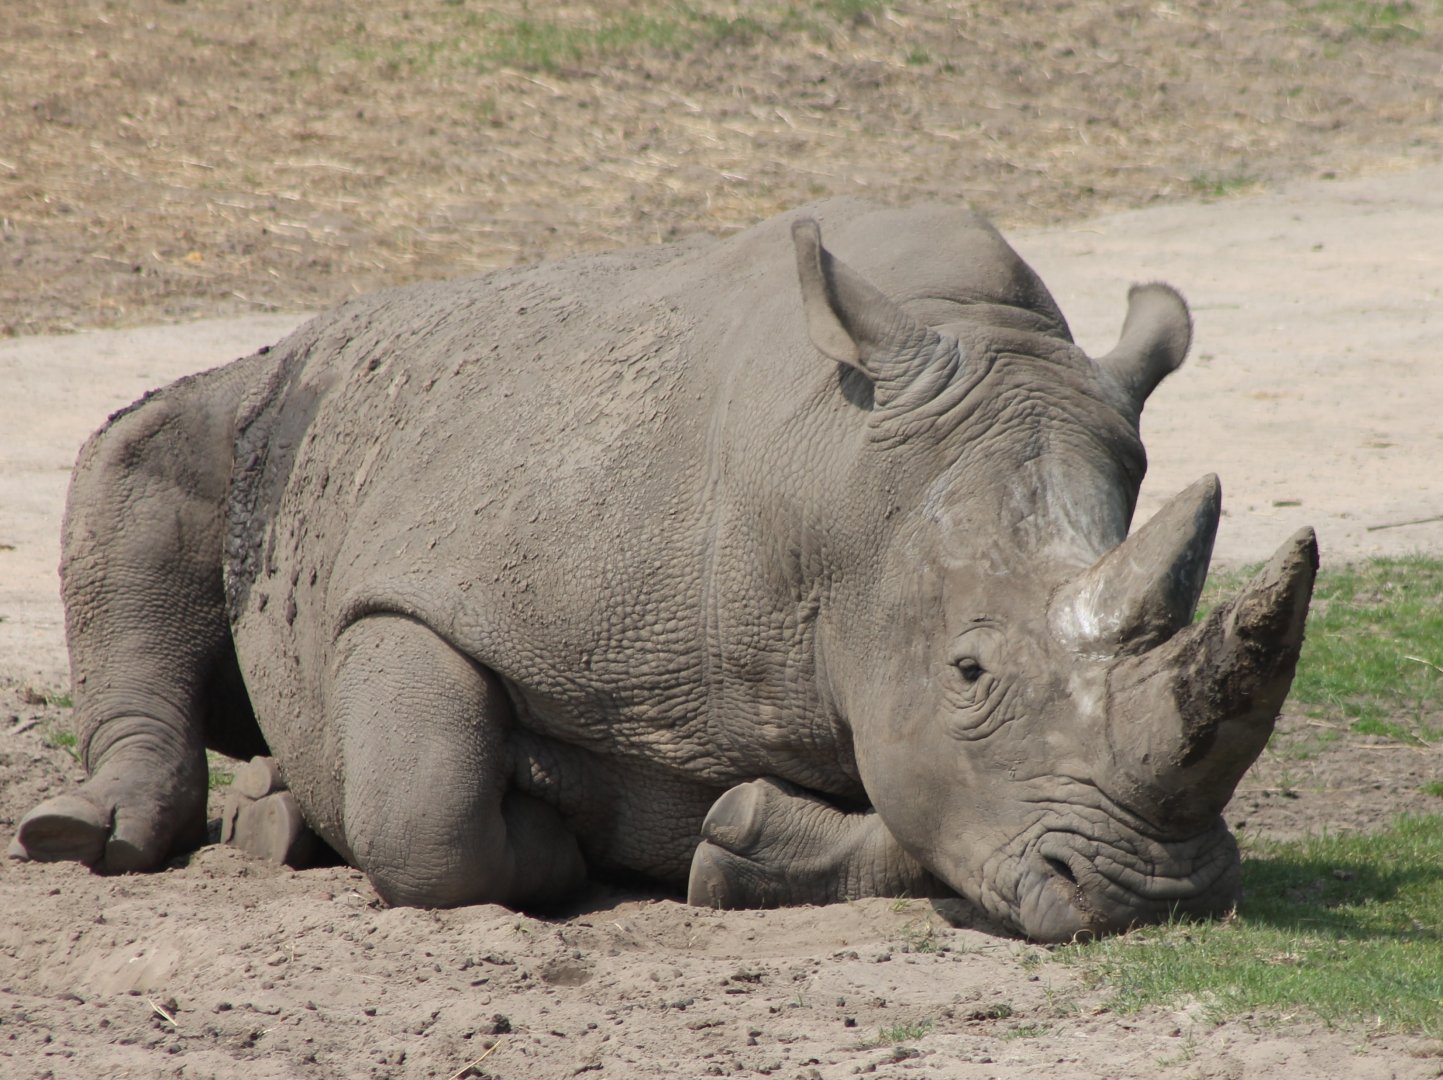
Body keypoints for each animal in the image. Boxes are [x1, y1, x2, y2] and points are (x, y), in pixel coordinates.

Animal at [11, 199, 1316, 942]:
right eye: (970, 671)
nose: (1156, 896)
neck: (833, 488)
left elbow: (914, 803)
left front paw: (733, 842)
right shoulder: (418, 591)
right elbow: (426, 809)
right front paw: (550, 851)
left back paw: (275, 817)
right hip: (280, 402)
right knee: (140, 457)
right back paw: (101, 836)